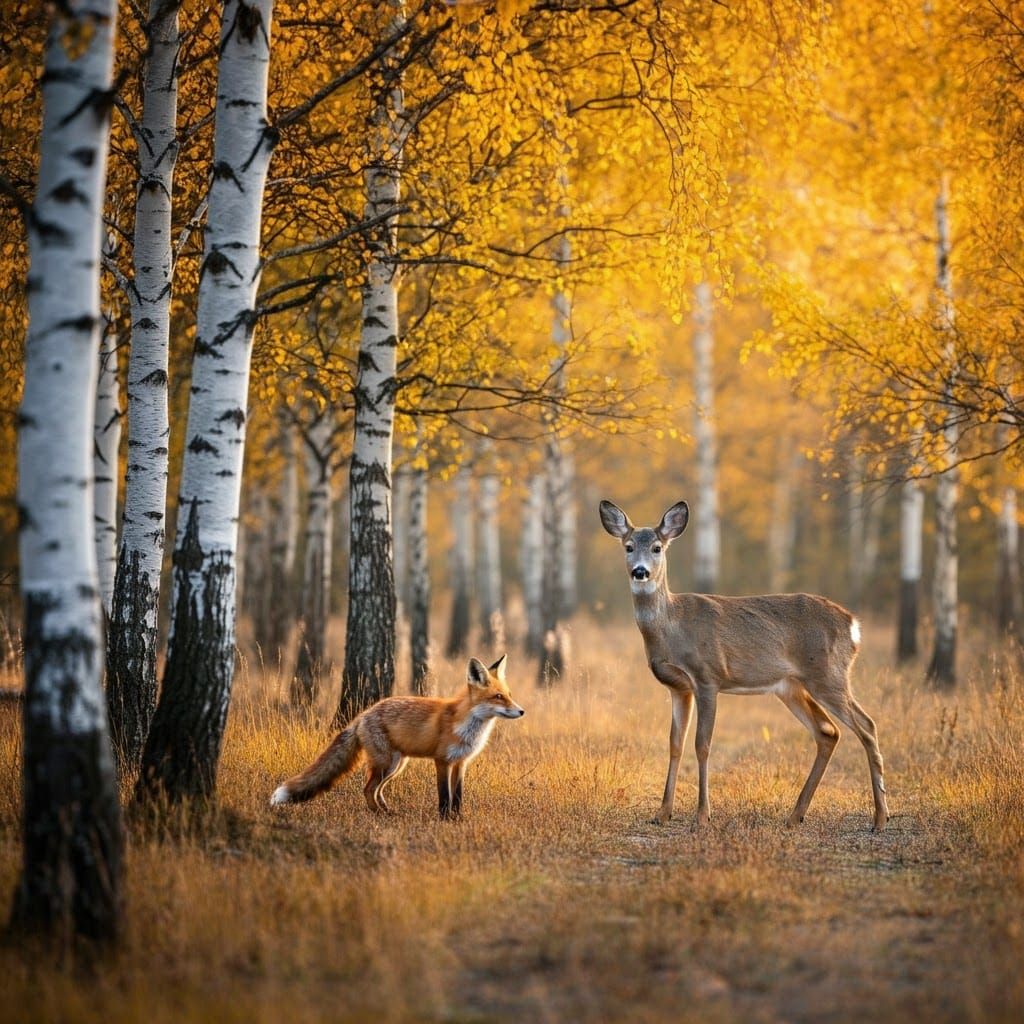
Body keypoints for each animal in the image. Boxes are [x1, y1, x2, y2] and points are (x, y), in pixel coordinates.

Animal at [270, 654, 524, 819]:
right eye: (498, 697)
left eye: (510, 695)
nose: (522, 711)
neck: (467, 726)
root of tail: (362, 716)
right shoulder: (442, 760)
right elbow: (444, 796)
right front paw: (444, 820)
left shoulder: (461, 762)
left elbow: (458, 796)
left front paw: (458, 819)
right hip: (385, 763)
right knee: (368, 789)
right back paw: (381, 815)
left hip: (396, 765)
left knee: (377, 790)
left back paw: (388, 811)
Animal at [599, 499, 888, 832]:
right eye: (629, 546)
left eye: (657, 548)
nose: (640, 572)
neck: (671, 627)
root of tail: (853, 625)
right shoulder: (678, 688)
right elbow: (675, 744)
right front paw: (662, 813)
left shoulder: (708, 677)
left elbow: (702, 744)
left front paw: (702, 816)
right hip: (792, 687)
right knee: (828, 732)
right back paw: (795, 816)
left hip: (829, 675)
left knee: (867, 726)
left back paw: (880, 819)